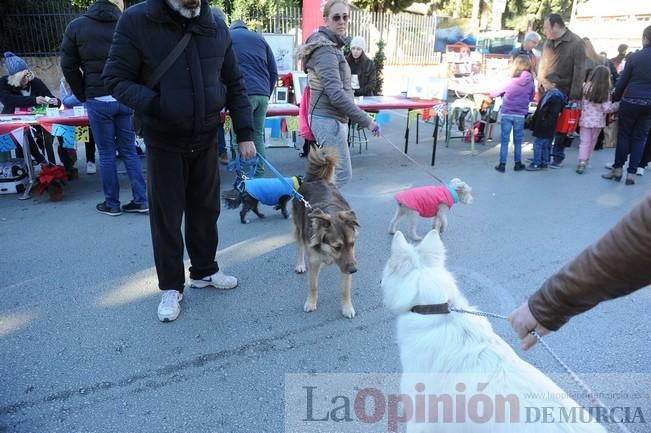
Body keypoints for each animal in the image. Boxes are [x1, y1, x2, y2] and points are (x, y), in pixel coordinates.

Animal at [292, 147, 360, 318]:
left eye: (352, 244)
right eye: (337, 247)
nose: (354, 270)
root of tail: (315, 179)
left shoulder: (347, 264)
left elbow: (345, 290)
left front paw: (347, 307)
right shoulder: (315, 262)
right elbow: (313, 286)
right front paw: (311, 303)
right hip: (299, 227)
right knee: (300, 247)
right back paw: (300, 264)